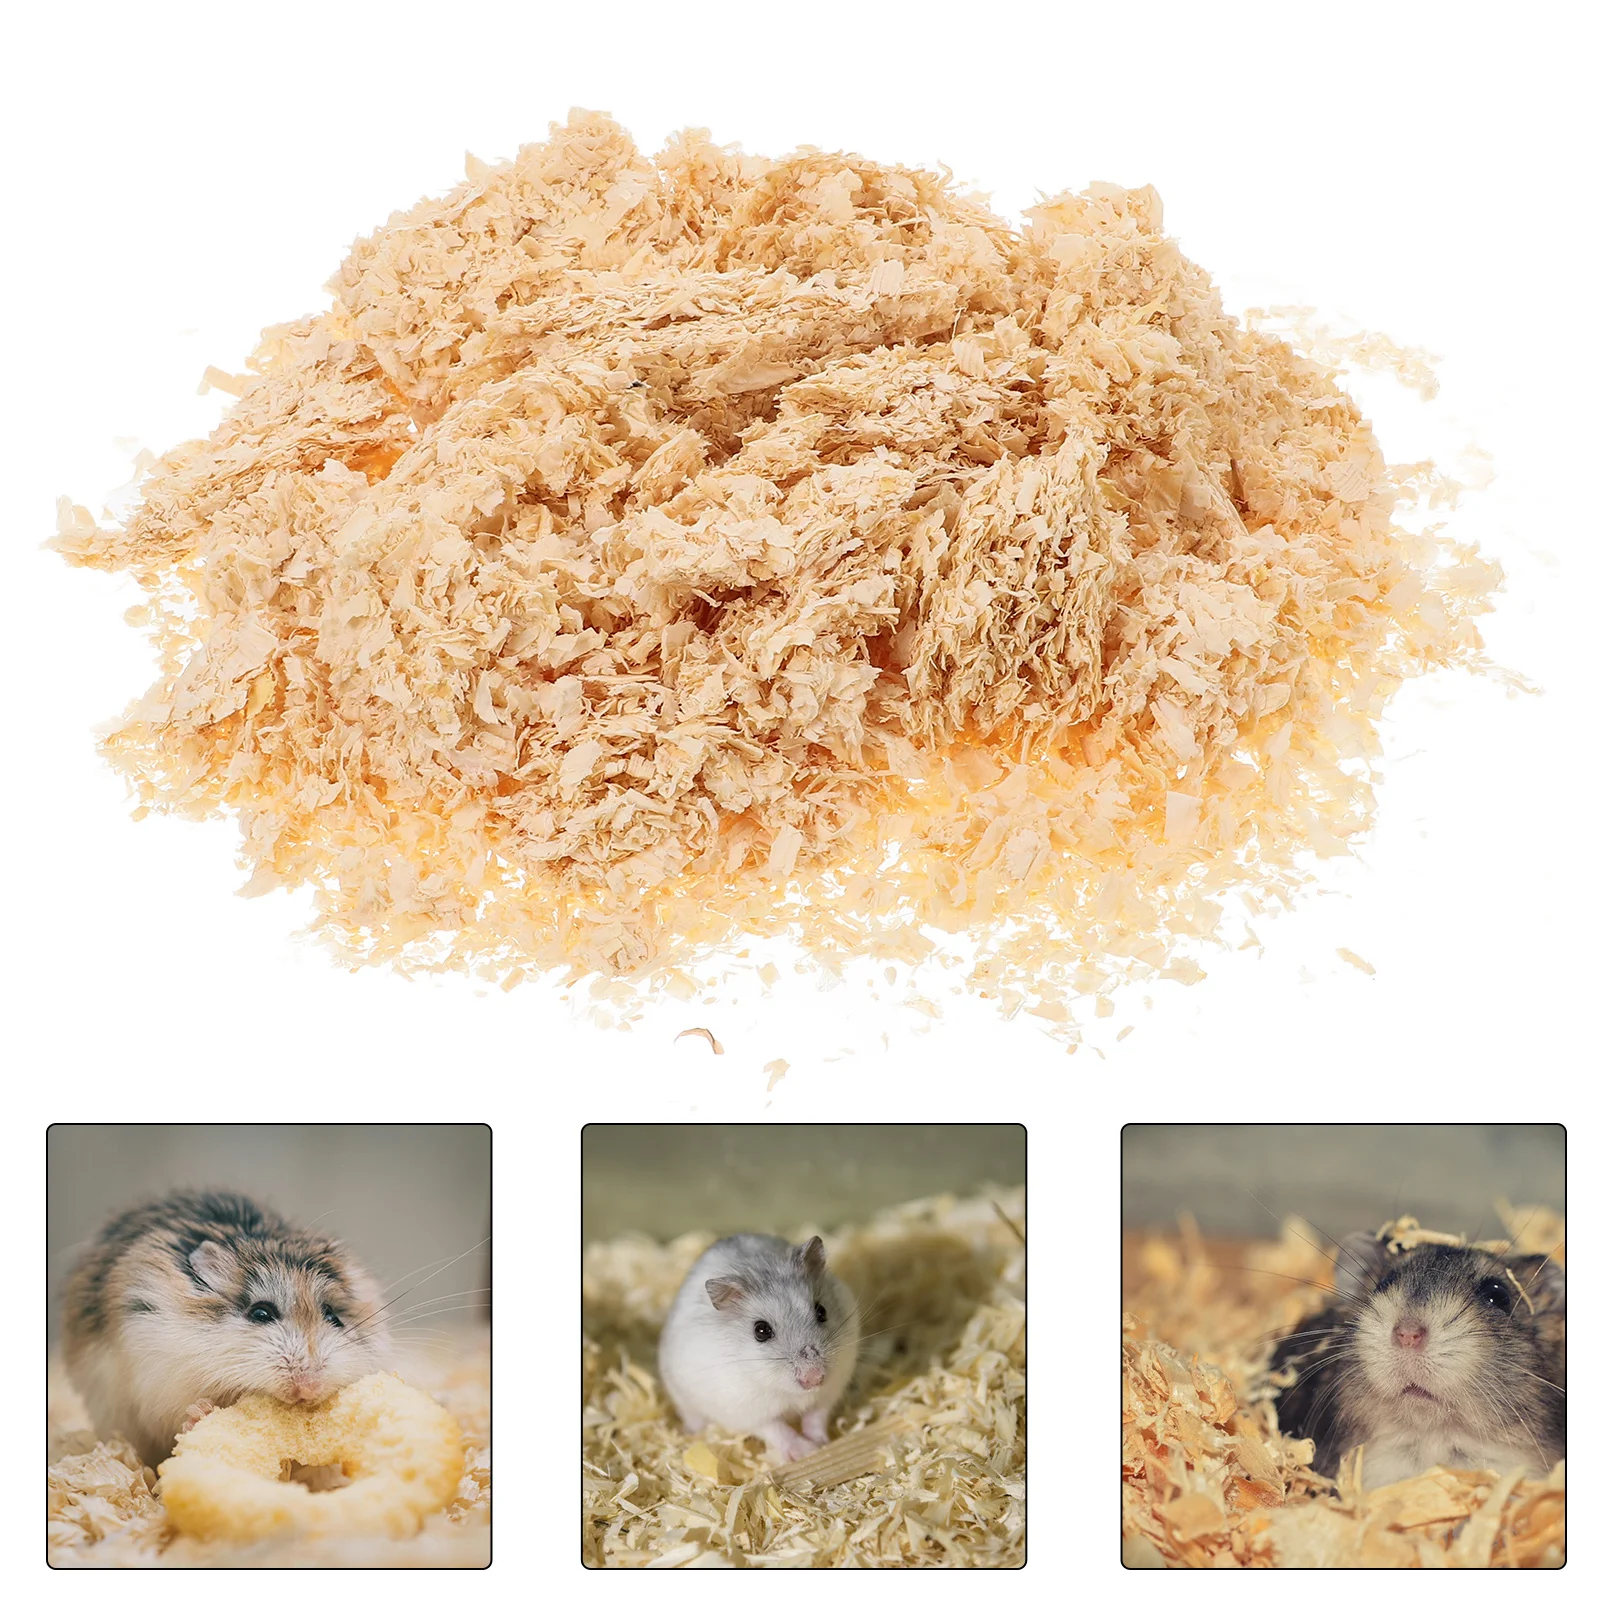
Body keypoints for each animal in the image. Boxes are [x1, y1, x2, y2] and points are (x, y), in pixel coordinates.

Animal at [658, 1233, 860, 1463]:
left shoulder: (829, 1391)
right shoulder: (748, 1412)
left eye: (822, 1311)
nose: (814, 1379)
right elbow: (777, 1430)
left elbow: (816, 1416)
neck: (788, 1392)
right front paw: (806, 1450)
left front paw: (820, 1442)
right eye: (761, 1331)